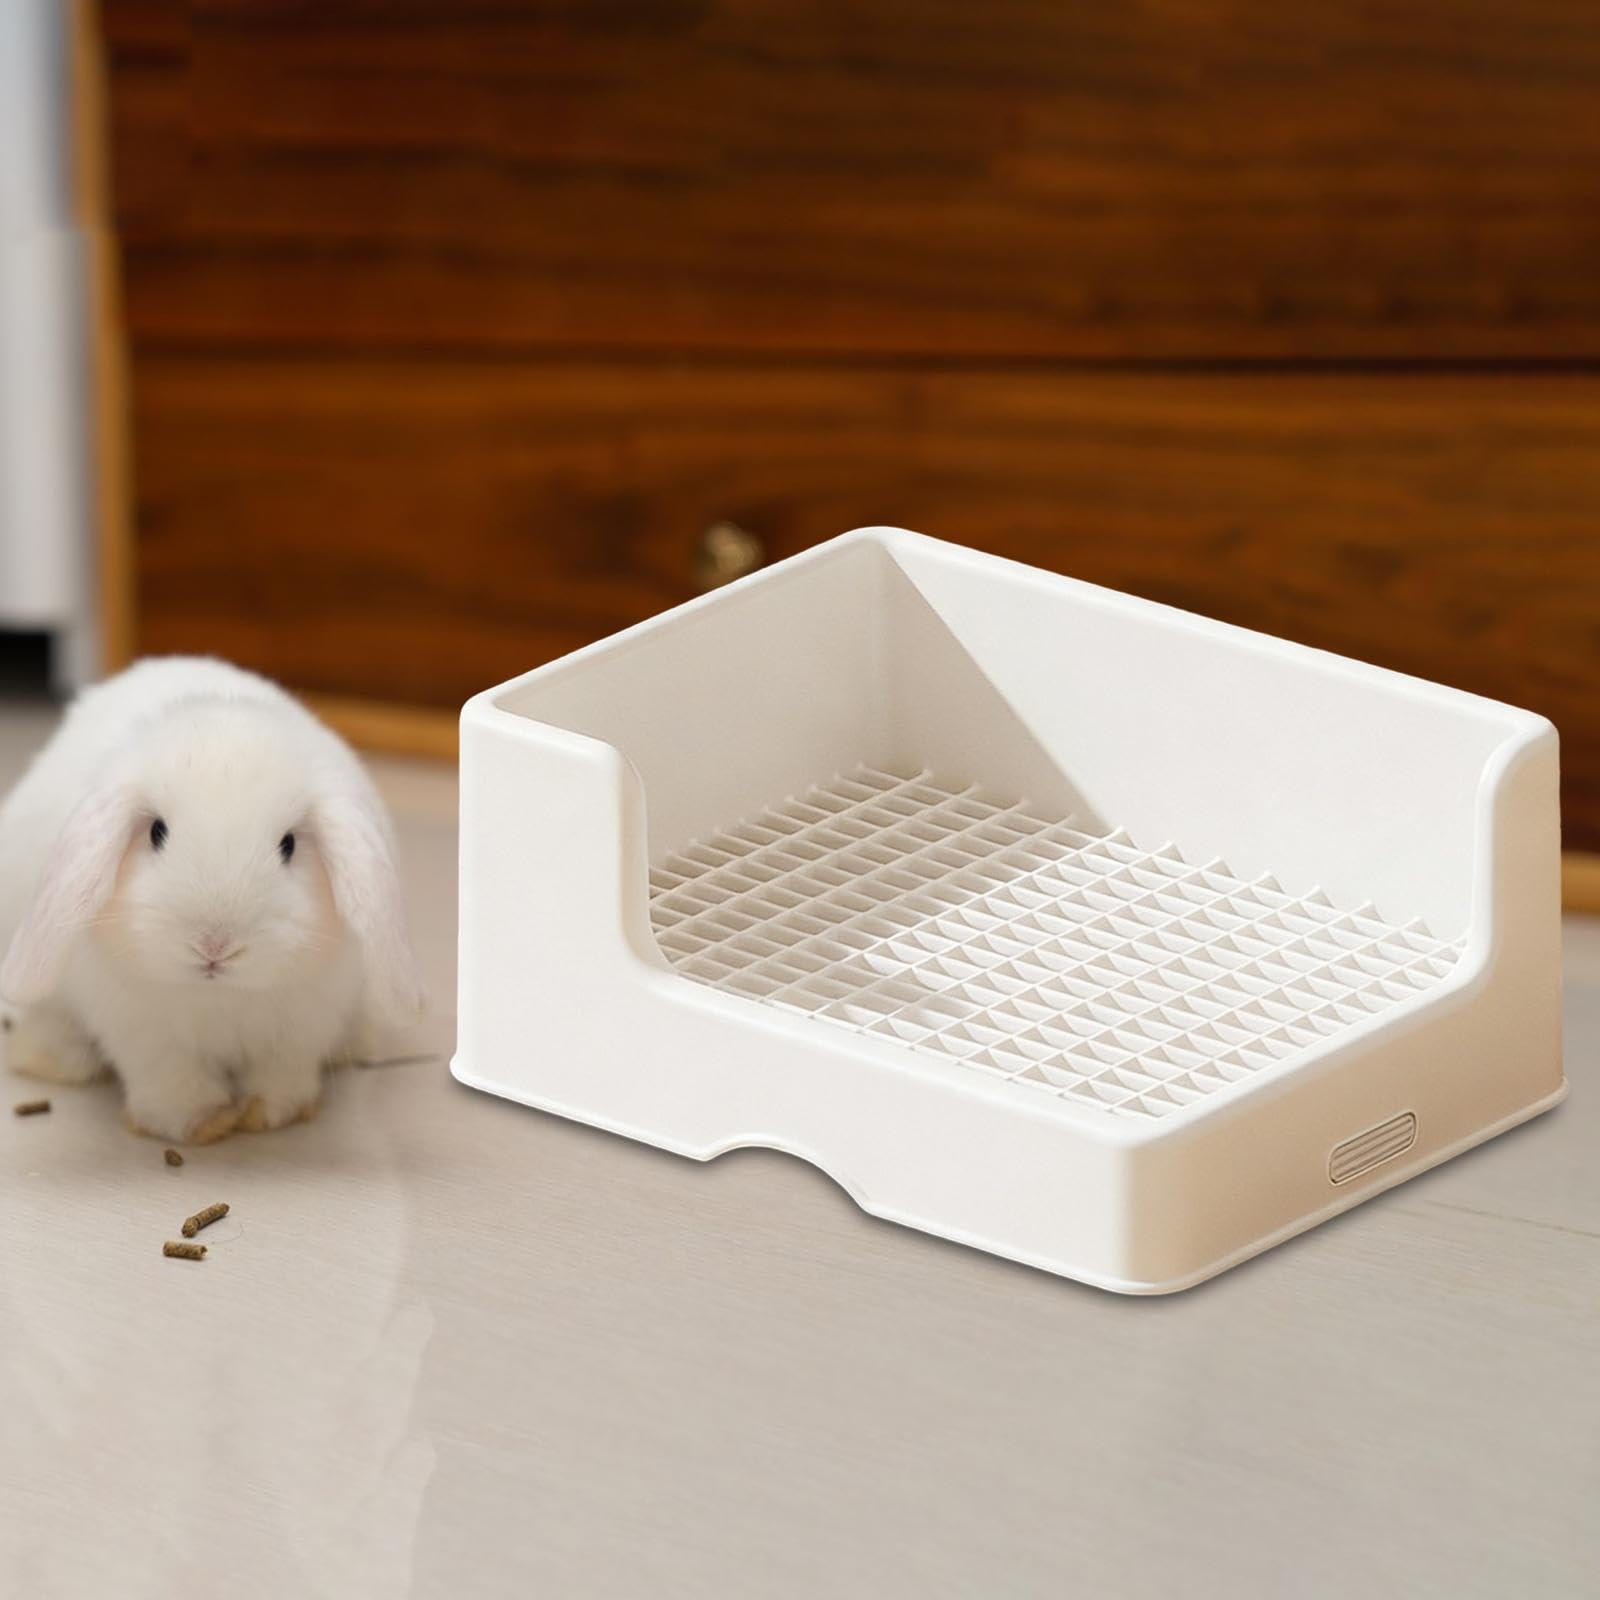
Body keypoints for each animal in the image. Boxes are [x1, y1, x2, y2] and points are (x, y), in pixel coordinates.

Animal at [0, 656, 421, 1142]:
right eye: (156, 832)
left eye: (289, 845)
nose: (214, 945)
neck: (220, 994)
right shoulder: (144, 1034)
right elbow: (171, 1082)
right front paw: (202, 1124)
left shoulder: (301, 1028)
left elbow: (282, 1073)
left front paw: (269, 1113)